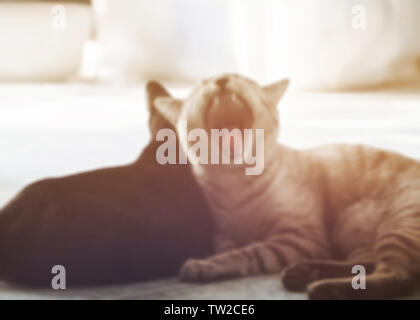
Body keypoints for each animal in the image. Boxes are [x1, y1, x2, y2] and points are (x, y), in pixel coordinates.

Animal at [153, 74, 420, 298]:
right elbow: (226, 247)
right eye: (204, 83)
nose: (221, 79)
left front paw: (203, 265)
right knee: (367, 265)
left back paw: (319, 287)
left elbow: (247, 253)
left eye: (240, 78)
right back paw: (302, 274)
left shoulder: (298, 238)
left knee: (395, 276)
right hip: (352, 233)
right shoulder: (223, 235)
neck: (233, 184)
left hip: (396, 226)